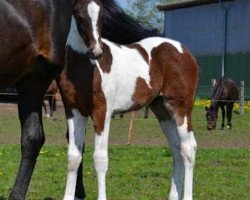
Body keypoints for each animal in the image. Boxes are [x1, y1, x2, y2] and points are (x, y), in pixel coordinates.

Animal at [58, 0, 199, 199]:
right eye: (79, 16)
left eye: (102, 16)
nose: (96, 51)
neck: (84, 68)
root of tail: (184, 52)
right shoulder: (74, 111)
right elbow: (73, 157)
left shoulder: (102, 112)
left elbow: (100, 159)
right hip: (163, 111)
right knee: (176, 149)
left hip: (181, 107)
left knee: (188, 148)